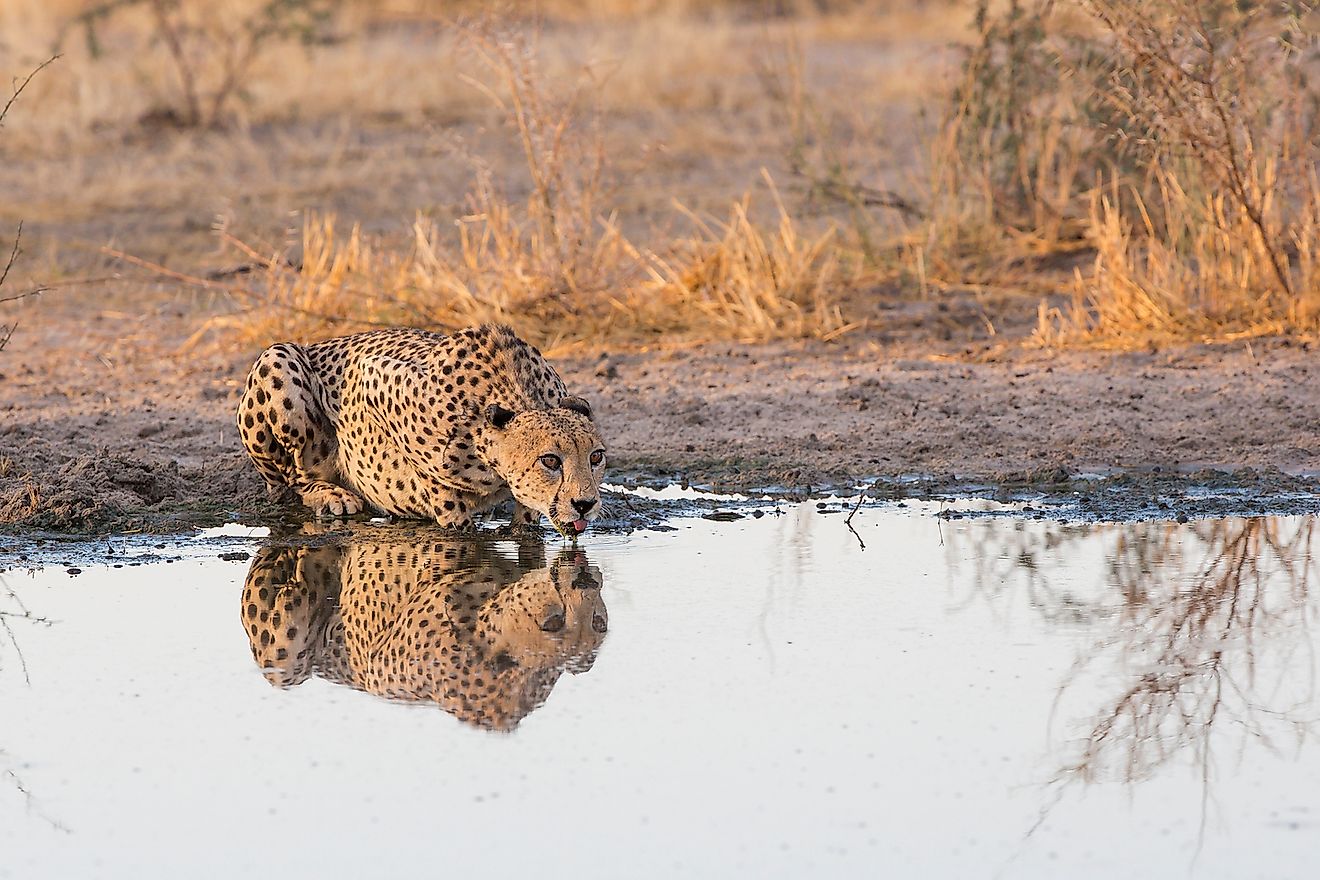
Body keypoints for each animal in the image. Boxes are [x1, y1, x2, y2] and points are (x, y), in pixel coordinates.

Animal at [240, 321, 604, 533]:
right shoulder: (370, 375)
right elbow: (433, 479)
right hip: (278, 358)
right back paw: (331, 495)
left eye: (596, 457)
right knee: (293, 478)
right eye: (550, 461)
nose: (585, 504)